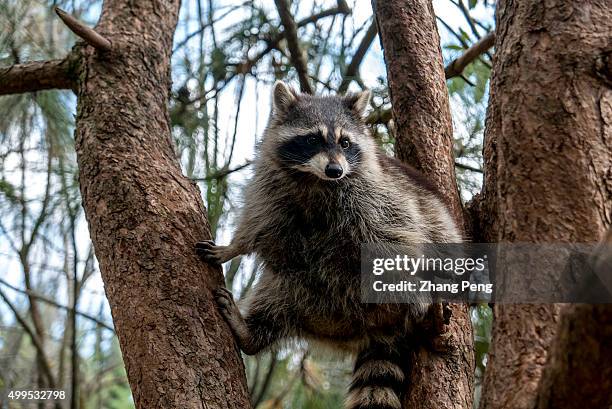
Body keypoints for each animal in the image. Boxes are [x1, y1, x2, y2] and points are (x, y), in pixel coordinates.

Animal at [195, 81, 460, 406]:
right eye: (312, 139)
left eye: (345, 143)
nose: (335, 170)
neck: (316, 179)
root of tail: (375, 326)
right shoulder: (271, 187)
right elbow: (258, 223)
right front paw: (233, 246)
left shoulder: (376, 194)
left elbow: (398, 229)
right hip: (311, 301)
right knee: (279, 292)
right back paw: (250, 333)